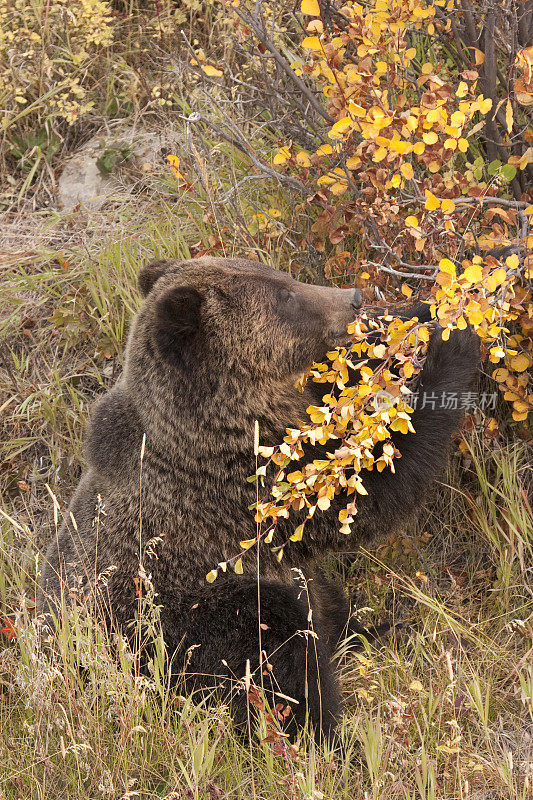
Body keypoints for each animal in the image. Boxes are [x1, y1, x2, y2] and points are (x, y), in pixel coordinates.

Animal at [37, 256, 478, 744]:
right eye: (285, 297)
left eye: (281, 276)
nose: (354, 297)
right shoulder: (247, 487)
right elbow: (368, 491)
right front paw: (454, 341)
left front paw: (424, 308)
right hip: (173, 623)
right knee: (277, 648)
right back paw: (330, 734)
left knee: (322, 600)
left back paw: (379, 627)